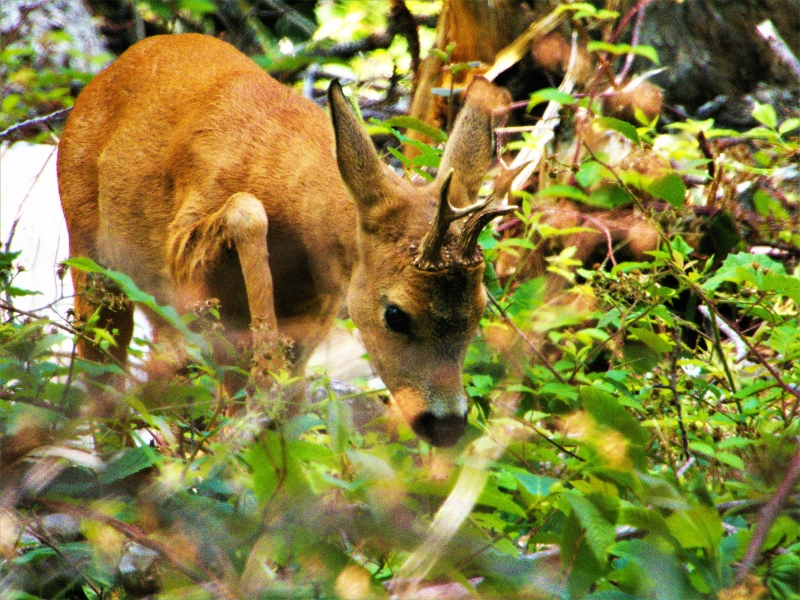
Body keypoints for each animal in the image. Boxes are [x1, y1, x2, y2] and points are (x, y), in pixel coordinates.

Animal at [59, 32, 512, 446]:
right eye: (396, 314)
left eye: (480, 308)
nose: (446, 425)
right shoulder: (182, 251)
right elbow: (247, 212)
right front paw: (264, 362)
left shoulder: (313, 321)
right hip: (89, 254)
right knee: (101, 373)